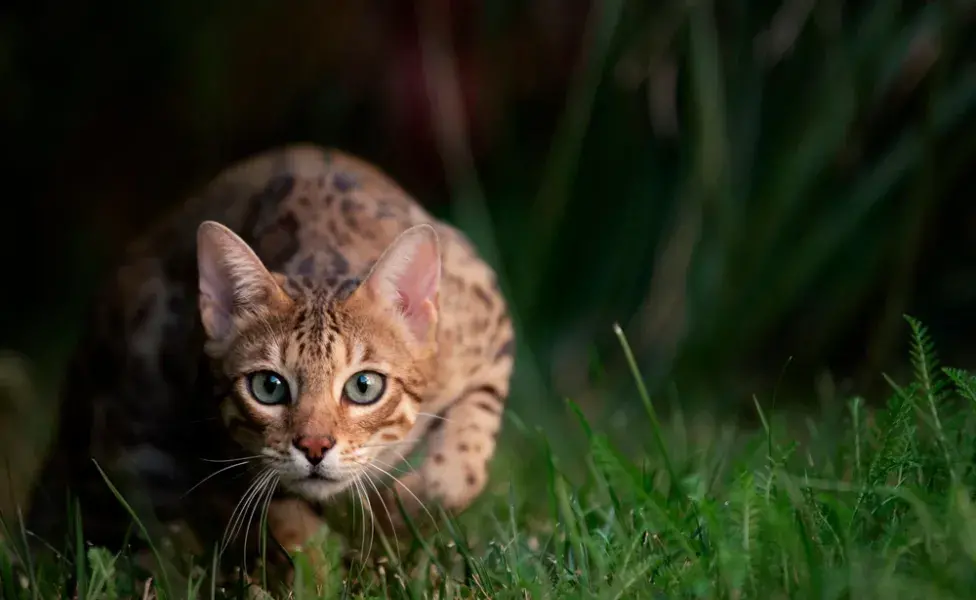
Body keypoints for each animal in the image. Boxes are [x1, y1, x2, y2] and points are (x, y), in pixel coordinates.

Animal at [22, 143, 516, 592]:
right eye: (268, 386)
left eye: (364, 386)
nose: (314, 448)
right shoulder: (220, 449)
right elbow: (290, 529)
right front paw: (321, 576)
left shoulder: (491, 327)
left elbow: (461, 467)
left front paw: (396, 513)